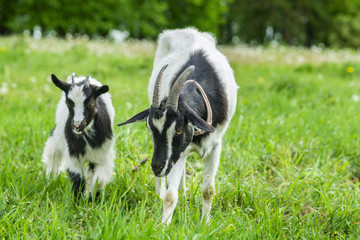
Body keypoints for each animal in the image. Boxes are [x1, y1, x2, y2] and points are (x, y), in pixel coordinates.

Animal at [42, 73, 115, 201]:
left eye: (91, 103)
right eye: (68, 103)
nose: (77, 125)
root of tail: (79, 78)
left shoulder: (102, 155)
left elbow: (97, 180)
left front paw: (92, 200)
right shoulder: (72, 153)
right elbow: (78, 180)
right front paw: (77, 202)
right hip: (58, 134)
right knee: (53, 156)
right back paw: (50, 180)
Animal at [116, 27, 238, 224]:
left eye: (179, 129)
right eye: (150, 129)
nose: (156, 168)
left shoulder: (215, 145)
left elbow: (208, 190)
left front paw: (205, 224)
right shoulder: (177, 152)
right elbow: (170, 196)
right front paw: (162, 226)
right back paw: (160, 194)